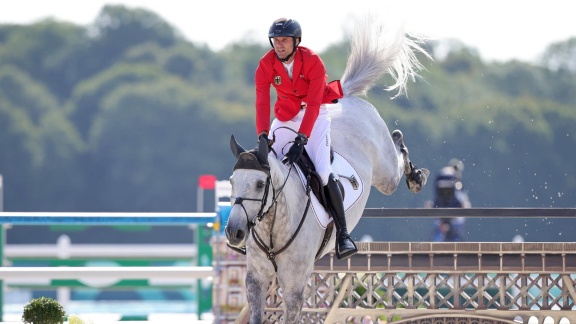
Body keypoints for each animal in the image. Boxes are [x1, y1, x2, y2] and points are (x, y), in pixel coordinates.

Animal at [225, 15, 432, 324]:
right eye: (231, 182)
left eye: (261, 184)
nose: (234, 233)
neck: (275, 223)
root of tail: (345, 97)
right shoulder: (256, 280)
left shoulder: (295, 284)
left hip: (385, 173)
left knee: (395, 155)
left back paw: (416, 175)